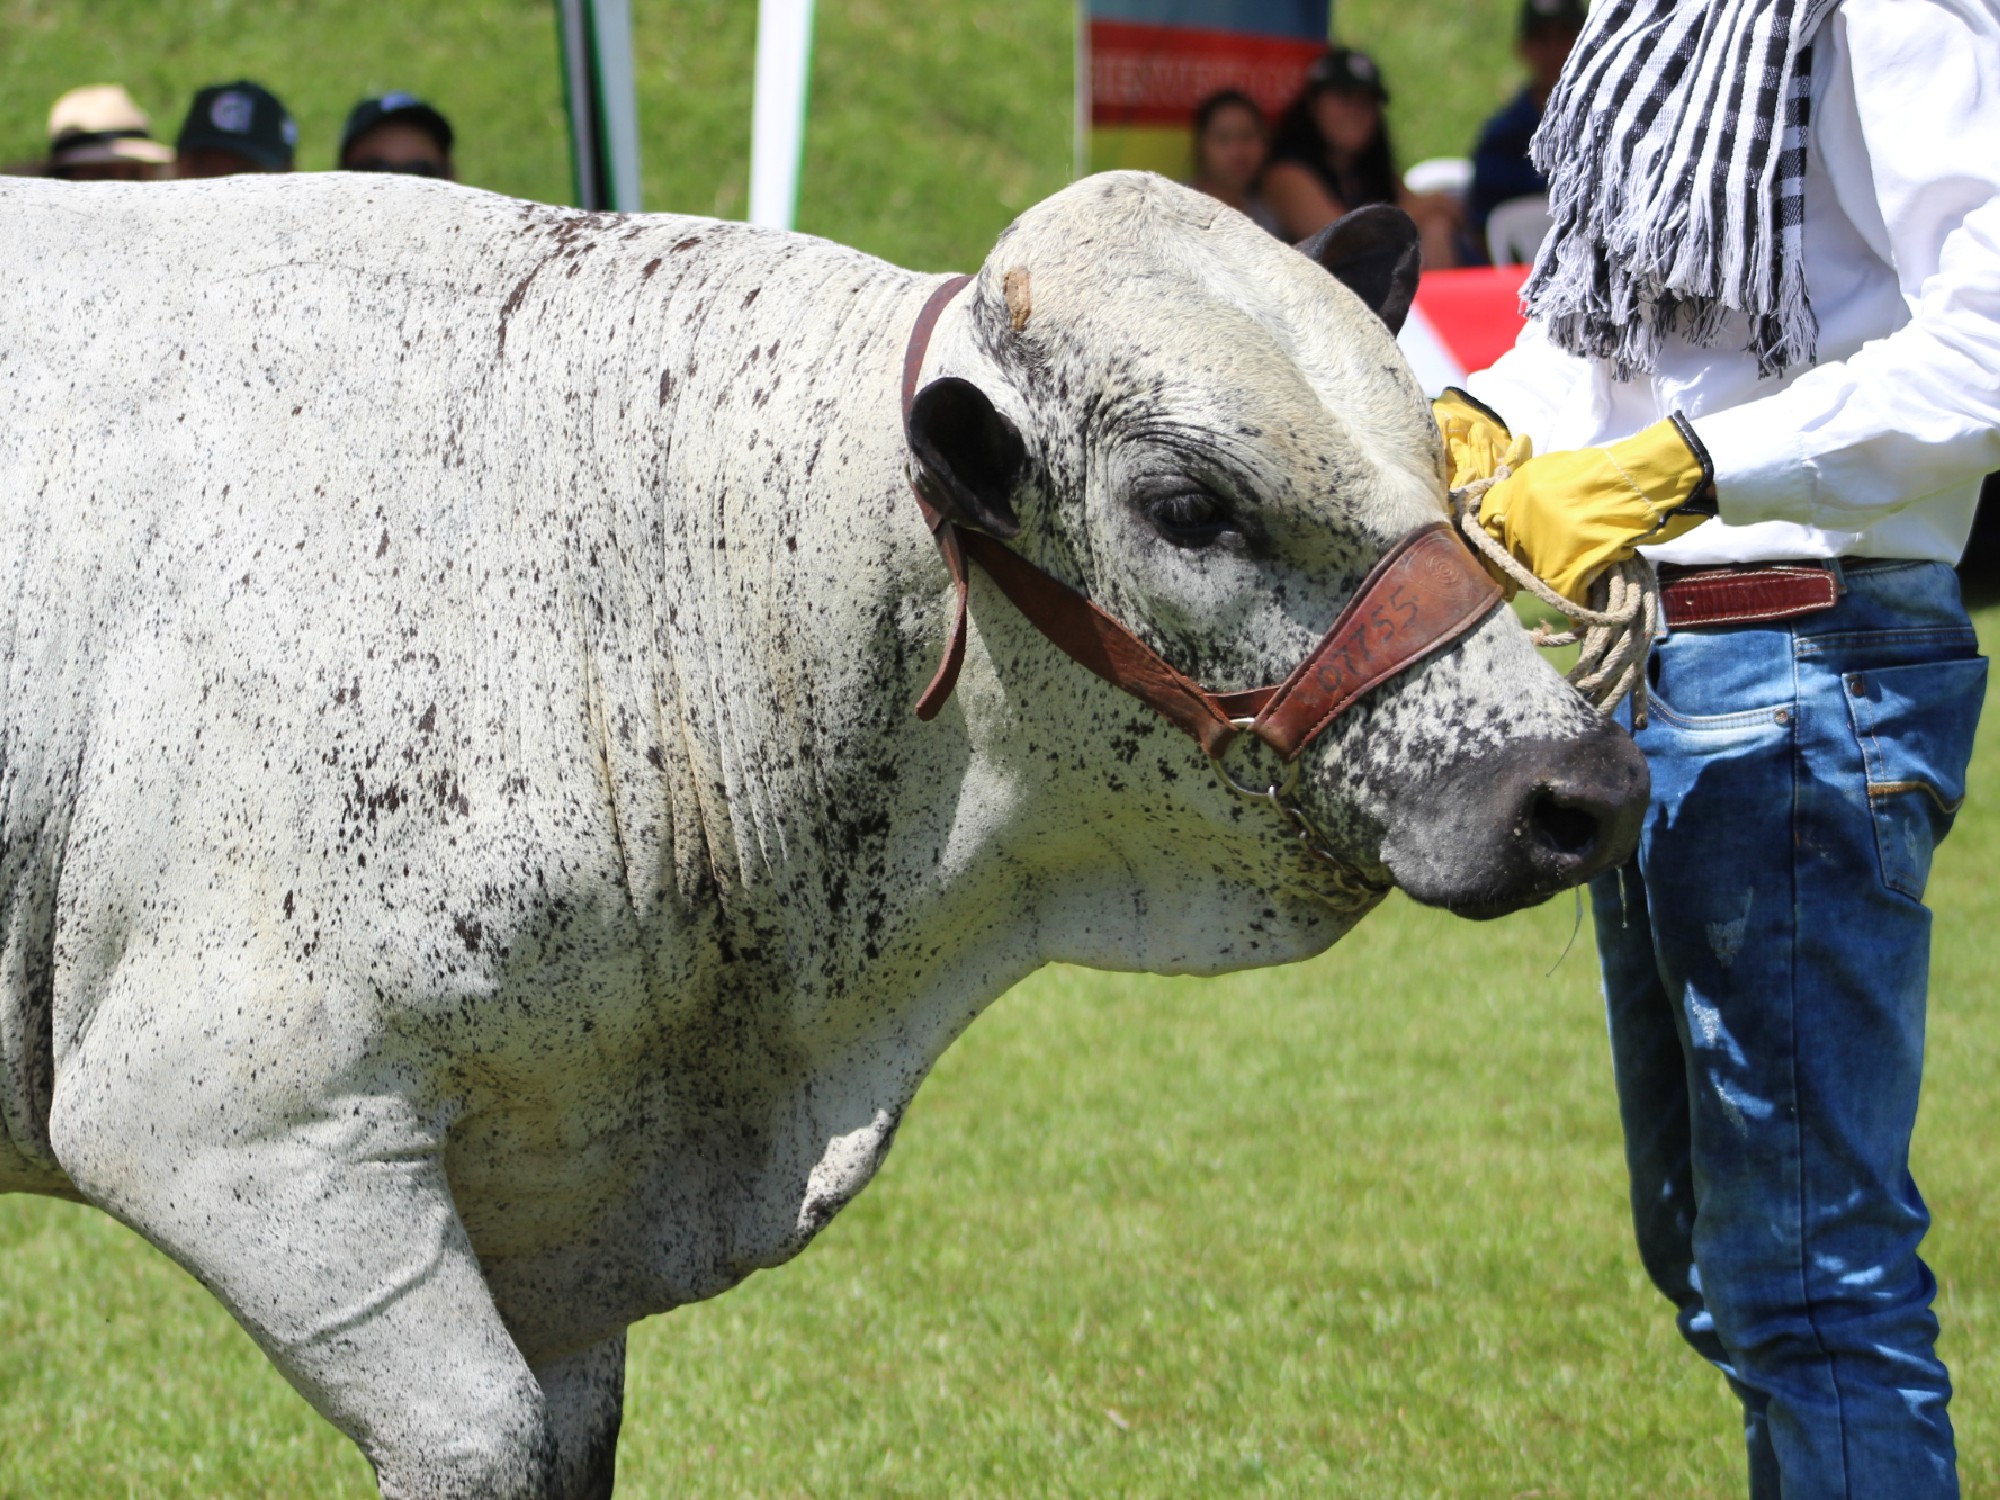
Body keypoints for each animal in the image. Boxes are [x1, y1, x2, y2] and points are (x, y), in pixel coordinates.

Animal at [0, 170, 1640, 1496]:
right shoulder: (237, 1127)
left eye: (1437, 453)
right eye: (1187, 506)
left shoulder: (558, 1192)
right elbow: (480, 1433)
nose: (1572, 789)